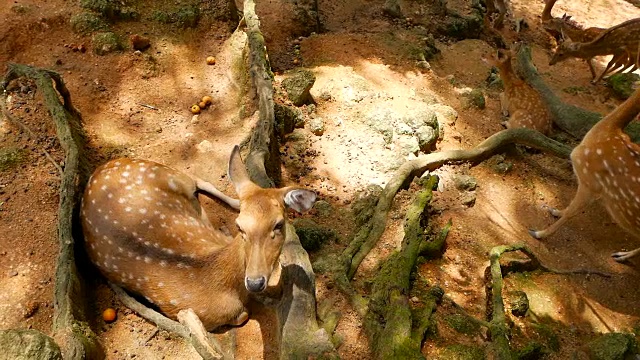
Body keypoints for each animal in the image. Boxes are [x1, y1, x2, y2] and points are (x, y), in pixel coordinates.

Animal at [80, 146, 318, 330]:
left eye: (278, 224)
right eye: (239, 227)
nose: (255, 282)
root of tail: (99, 169)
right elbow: (243, 315)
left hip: (165, 172)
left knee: (198, 180)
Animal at [532, 87, 640, 262]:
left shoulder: (590, 181)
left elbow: (571, 213)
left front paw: (539, 233)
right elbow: (569, 209)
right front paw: (555, 211)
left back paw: (622, 256)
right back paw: (620, 255)